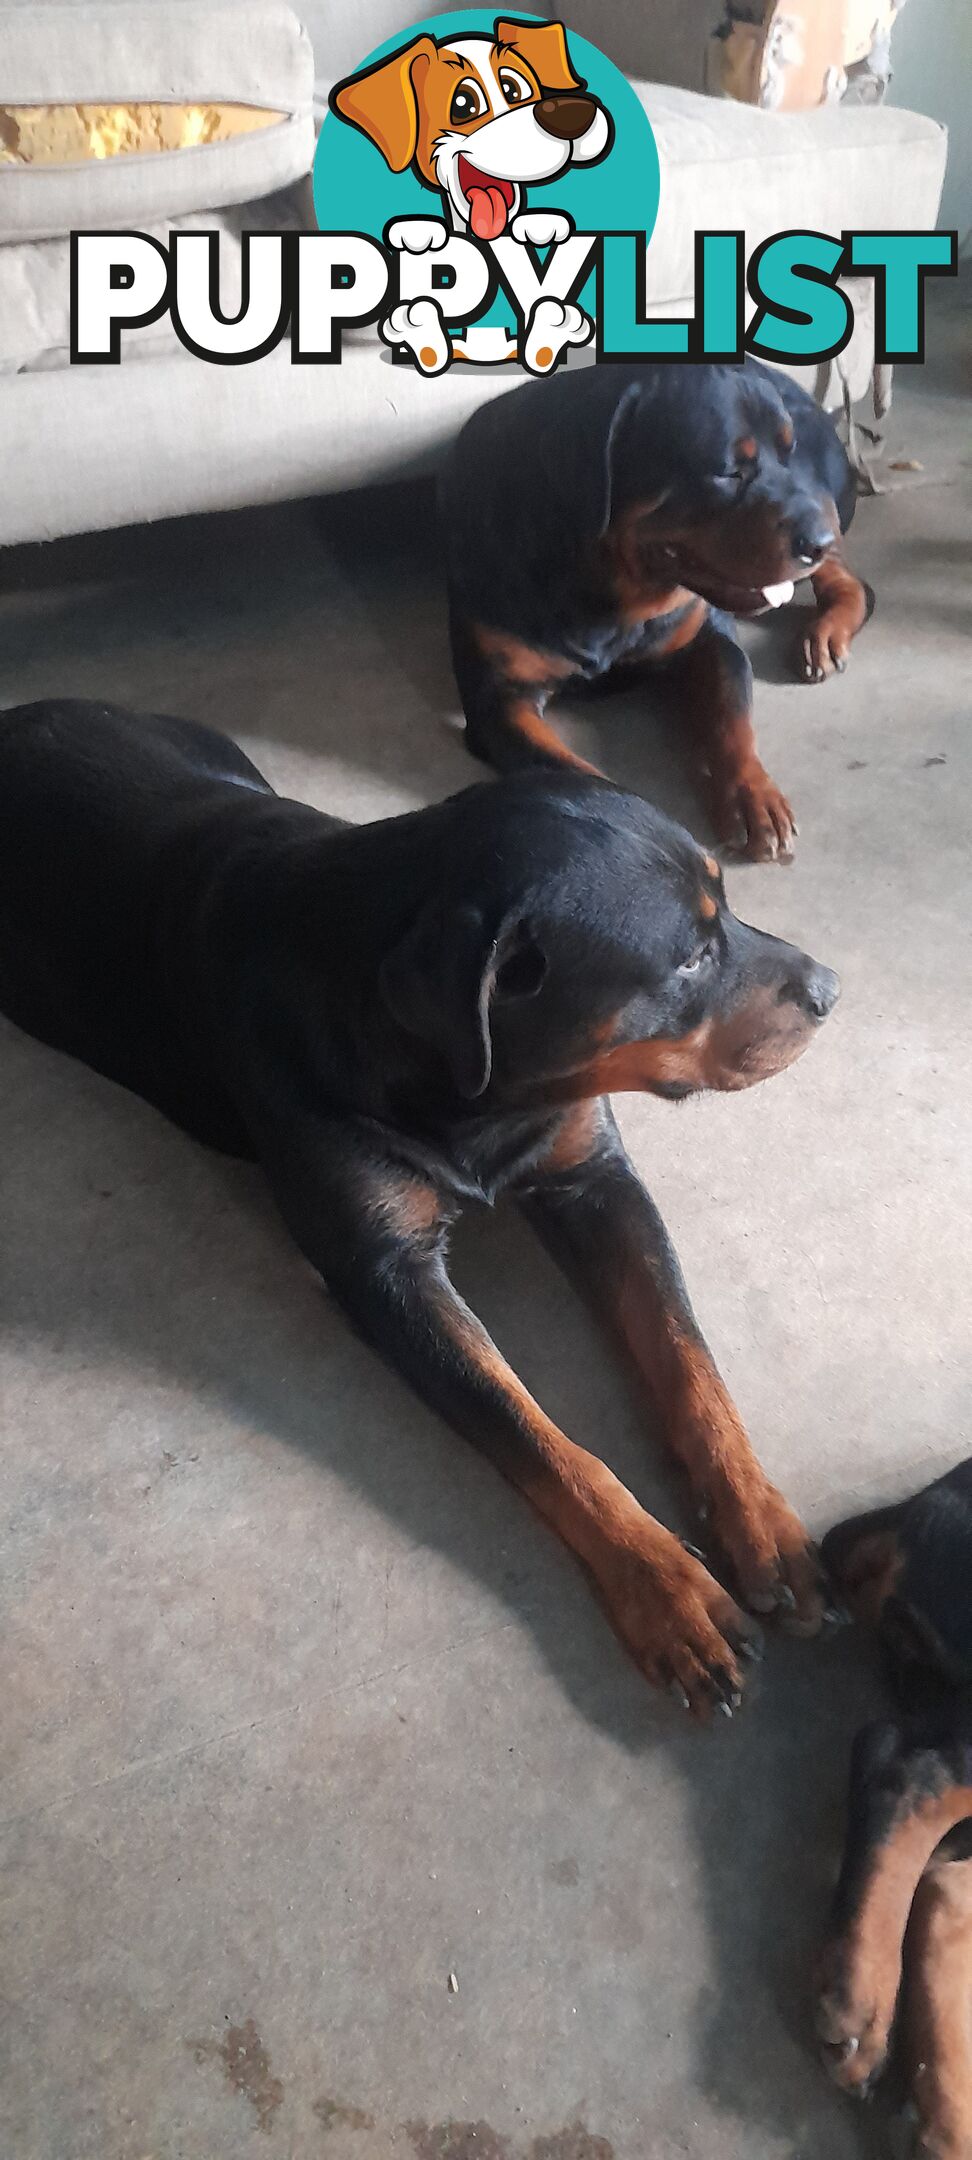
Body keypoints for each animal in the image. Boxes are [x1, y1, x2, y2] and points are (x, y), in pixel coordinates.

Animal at [0, 699, 842, 1710]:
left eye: (729, 906)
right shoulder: (384, 1273)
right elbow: (538, 1435)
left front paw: (760, 1518)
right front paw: (667, 1591)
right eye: (688, 959)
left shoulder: (594, 1179)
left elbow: (686, 1354)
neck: (479, 1091)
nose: (832, 990)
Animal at [442, 354, 872, 859]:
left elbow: (732, 719)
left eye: (787, 455)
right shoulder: (501, 705)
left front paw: (754, 795)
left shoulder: (710, 640)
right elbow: (576, 773)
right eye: (728, 471)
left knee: (851, 582)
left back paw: (825, 634)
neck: (609, 585)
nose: (816, 542)